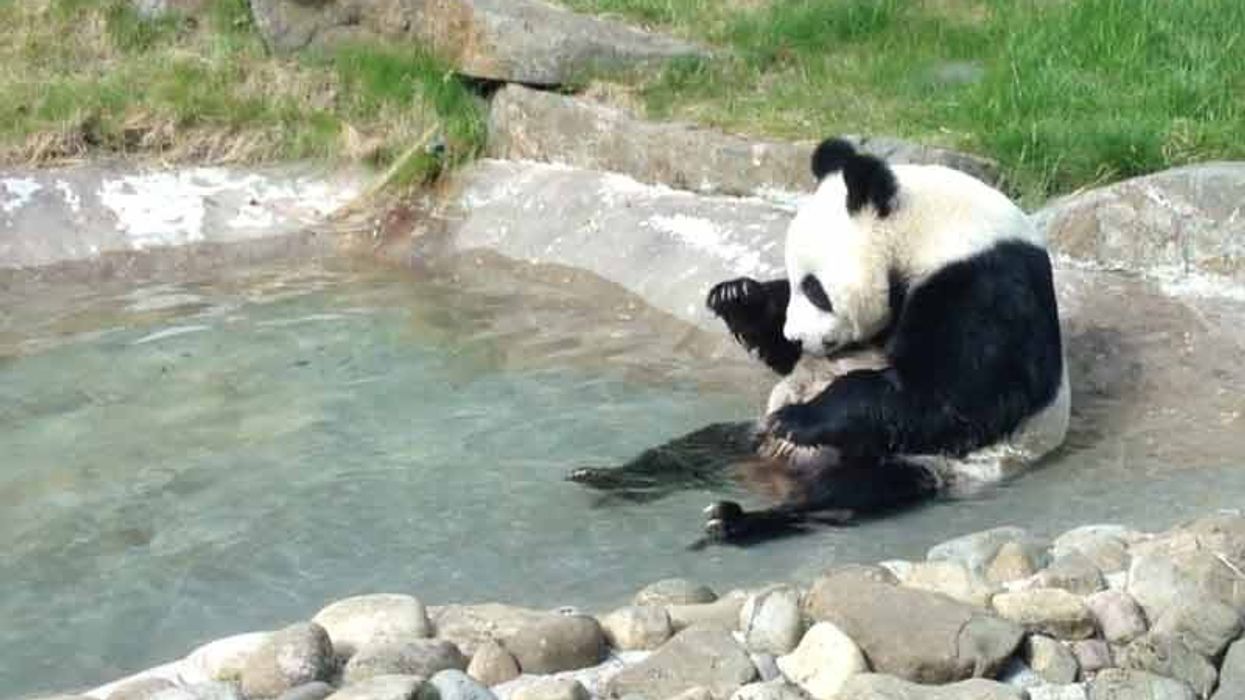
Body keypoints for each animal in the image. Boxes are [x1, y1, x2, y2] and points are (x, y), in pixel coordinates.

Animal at [700, 137, 1070, 543]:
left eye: (815, 289)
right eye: (798, 282)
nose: (796, 336)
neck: (934, 233)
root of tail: (785, 465)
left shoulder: (985, 284)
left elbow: (958, 395)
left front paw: (797, 419)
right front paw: (737, 297)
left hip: (930, 463)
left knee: (849, 493)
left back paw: (739, 519)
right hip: (748, 434)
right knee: (697, 448)